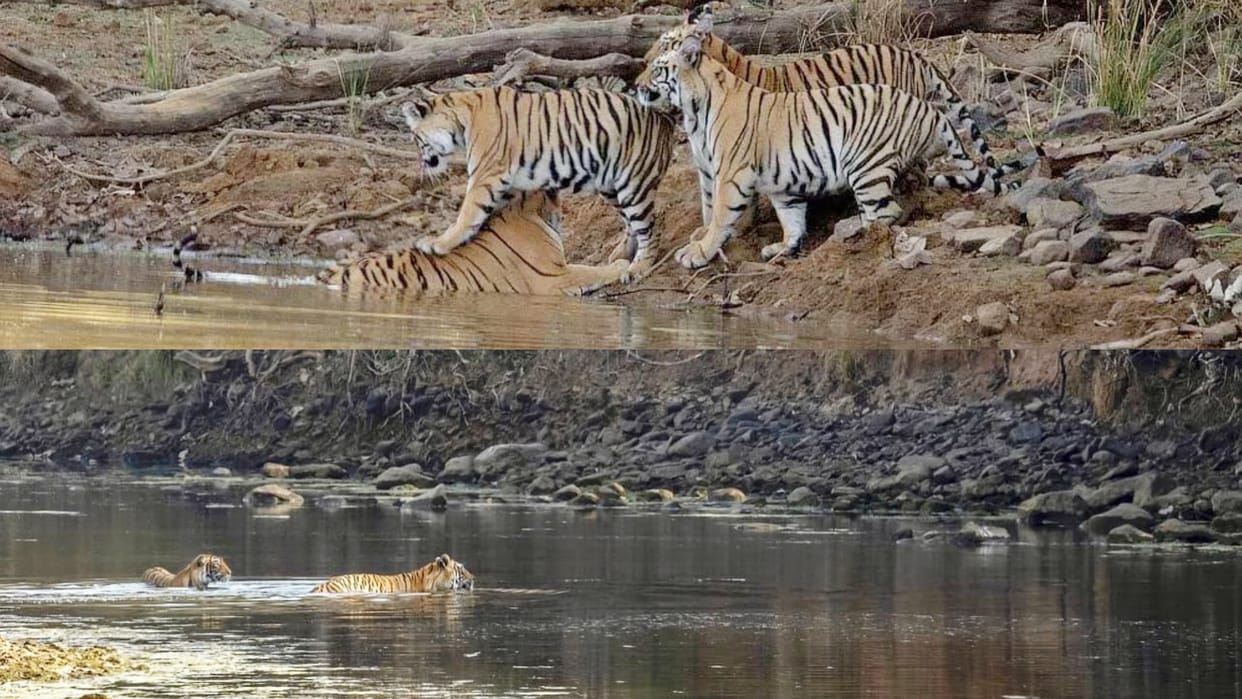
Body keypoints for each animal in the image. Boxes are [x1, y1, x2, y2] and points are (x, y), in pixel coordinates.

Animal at [399, 84, 676, 276]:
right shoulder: (507, 182)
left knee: (649, 229)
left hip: (634, 186)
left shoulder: (485, 175)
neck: (462, 119)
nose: (423, 162)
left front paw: (437, 244)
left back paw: (638, 268)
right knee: (630, 223)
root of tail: (663, 119)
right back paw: (621, 254)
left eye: (415, 138)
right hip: (611, 186)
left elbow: (467, 213)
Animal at [635, 36, 1040, 269]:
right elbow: (791, 219)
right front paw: (783, 248)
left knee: (885, 213)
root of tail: (932, 112)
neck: (694, 109)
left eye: (658, 69)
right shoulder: (780, 184)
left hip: (866, 165)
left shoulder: (731, 173)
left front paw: (698, 252)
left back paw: (847, 235)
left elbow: (719, 215)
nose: (635, 87)